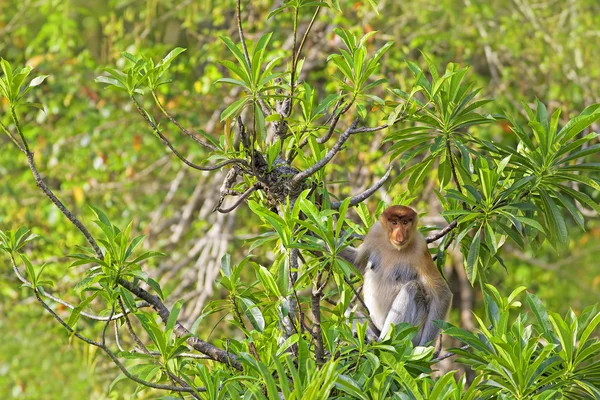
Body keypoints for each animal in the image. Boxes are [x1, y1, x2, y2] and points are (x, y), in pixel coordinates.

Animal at [342, 205, 450, 346]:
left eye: (405, 223)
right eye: (394, 223)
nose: (399, 235)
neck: (393, 247)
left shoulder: (420, 248)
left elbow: (442, 294)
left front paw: (425, 347)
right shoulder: (374, 232)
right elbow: (357, 262)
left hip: (412, 332)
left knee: (412, 288)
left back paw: (381, 341)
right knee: (349, 310)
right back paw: (367, 335)